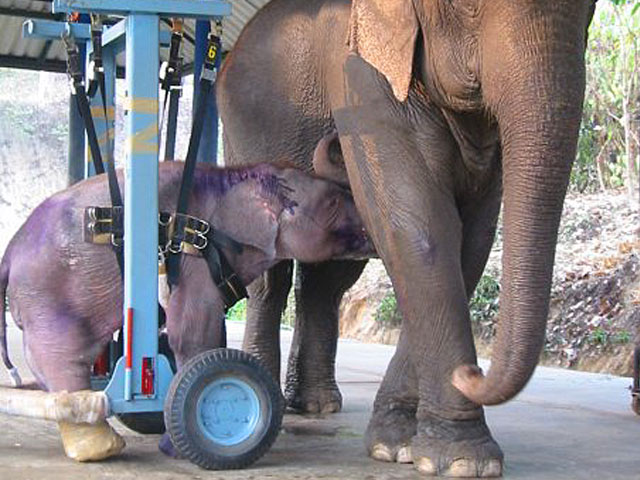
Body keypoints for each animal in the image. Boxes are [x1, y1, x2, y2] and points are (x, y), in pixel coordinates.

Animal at [0, 160, 371, 461]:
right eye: (333, 202)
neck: (234, 177)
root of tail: (9, 256)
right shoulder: (193, 253)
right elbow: (192, 334)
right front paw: (179, 445)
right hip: (49, 295)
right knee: (60, 357)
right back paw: (102, 446)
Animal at [217, 0, 596, 476]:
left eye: (590, 11)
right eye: (469, 7)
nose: (472, 374)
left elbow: (470, 239)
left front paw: (399, 445)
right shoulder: (361, 76)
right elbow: (419, 225)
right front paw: (461, 460)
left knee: (327, 282)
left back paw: (317, 405)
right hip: (244, 133)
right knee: (270, 272)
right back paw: (273, 398)